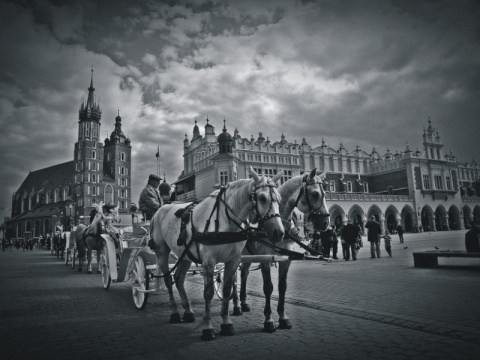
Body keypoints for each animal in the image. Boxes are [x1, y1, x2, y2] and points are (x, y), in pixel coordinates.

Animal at [150, 166, 284, 340]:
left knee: (179, 279)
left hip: (185, 255)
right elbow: (208, 293)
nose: (279, 233)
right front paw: (207, 327)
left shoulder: (233, 261)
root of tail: (160, 210)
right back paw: (175, 313)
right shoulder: (209, 262)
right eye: (262, 198)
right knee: (168, 280)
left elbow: (227, 290)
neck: (223, 220)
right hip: (162, 252)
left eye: (279, 199)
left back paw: (188, 311)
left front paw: (226, 324)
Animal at [235, 169, 330, 332]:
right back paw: (235, 306)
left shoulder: (286, 259)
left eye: (325, 194)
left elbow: (282, 287)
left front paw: (283, 317)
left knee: (244, 274)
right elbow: (268, 288)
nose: (326, 223)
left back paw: (244, 303)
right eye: (315, 194)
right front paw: (269, 320)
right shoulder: (265, 259)